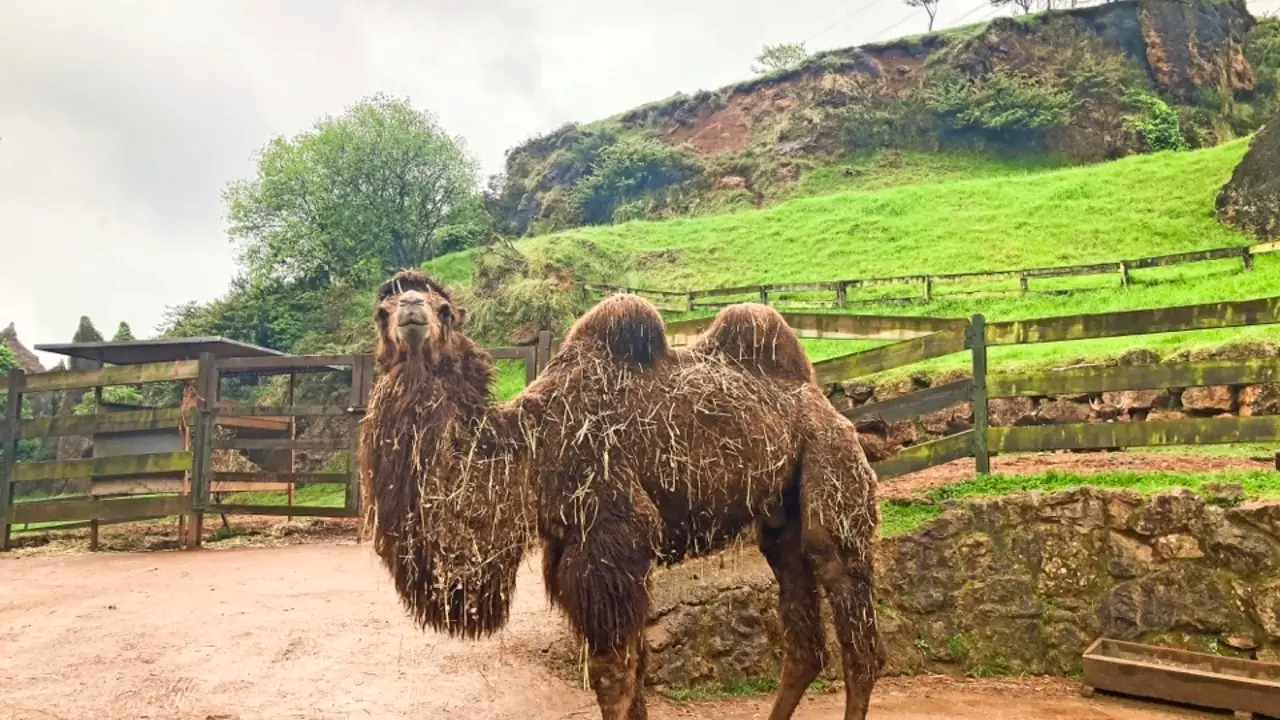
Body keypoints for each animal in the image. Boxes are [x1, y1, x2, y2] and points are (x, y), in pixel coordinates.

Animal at [358, 269, 883, 720]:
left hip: (832, 468)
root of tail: (823, 400)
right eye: (381, 310)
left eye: (445, 310)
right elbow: (636, 671)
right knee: (805, 645)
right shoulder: (570, 555)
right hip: (780, 519)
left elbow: (613, 679)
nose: (411, 308)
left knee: (859, 633)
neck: (529, 447)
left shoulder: (613, 540)